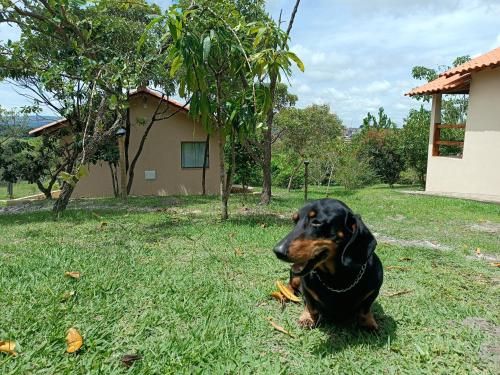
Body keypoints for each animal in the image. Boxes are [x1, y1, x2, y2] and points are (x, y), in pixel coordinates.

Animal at [274, 198, 382, 330]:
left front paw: (368, 322)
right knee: (290, 284)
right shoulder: (307, 289)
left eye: (317, 222)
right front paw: (307, 318)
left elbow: (366, 308)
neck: (337, 280)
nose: (277, 251)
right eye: (295, 221)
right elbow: (310, 305)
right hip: (295, 278)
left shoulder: (373, 291)